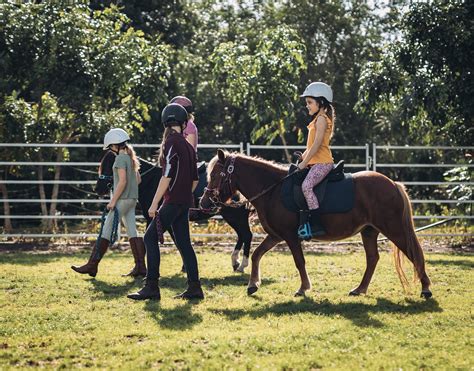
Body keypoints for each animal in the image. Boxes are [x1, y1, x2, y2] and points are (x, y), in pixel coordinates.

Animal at [200, 149, 434, 300]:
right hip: (369, 231)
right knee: (372, 259)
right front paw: (252, 285)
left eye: (217, 175)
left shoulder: (290, 236)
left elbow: (299, 261)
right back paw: (359, 289)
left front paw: (303, 288)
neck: (273, 190)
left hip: (393, 228)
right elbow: (257, 254)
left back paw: (426, 289)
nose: (204, 203)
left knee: (413, 253)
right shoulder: (276, 235)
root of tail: (393, 184)